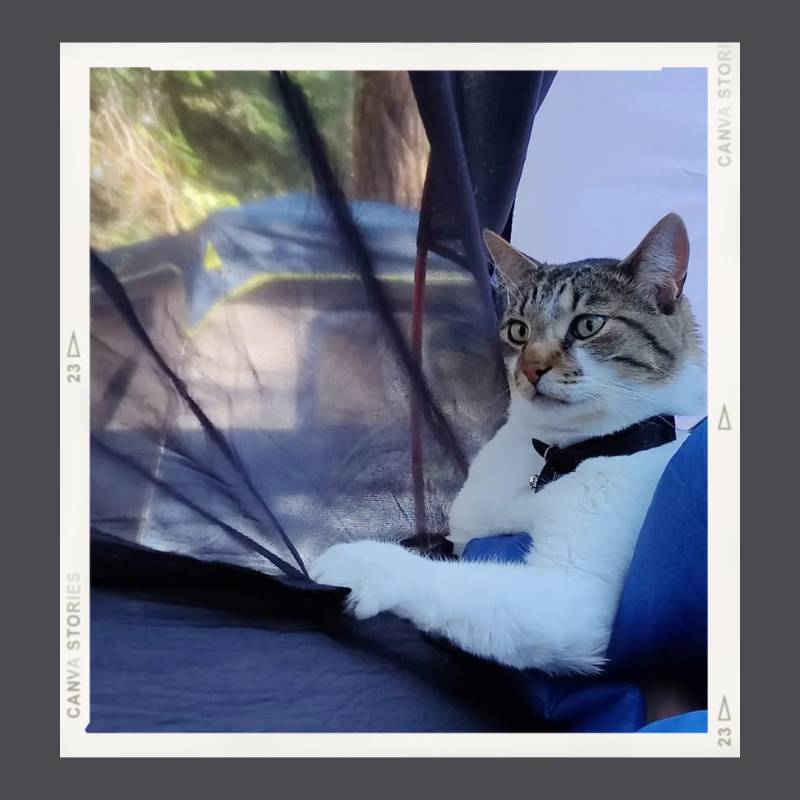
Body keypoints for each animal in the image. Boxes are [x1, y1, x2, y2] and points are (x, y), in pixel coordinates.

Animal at [310, 212, 704, 676]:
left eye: (588, 325)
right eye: (518, 330)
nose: (531, 368)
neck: (550, 457)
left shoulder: (572, 597)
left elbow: (464, 581)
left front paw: (358, 561)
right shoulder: (462, 530)